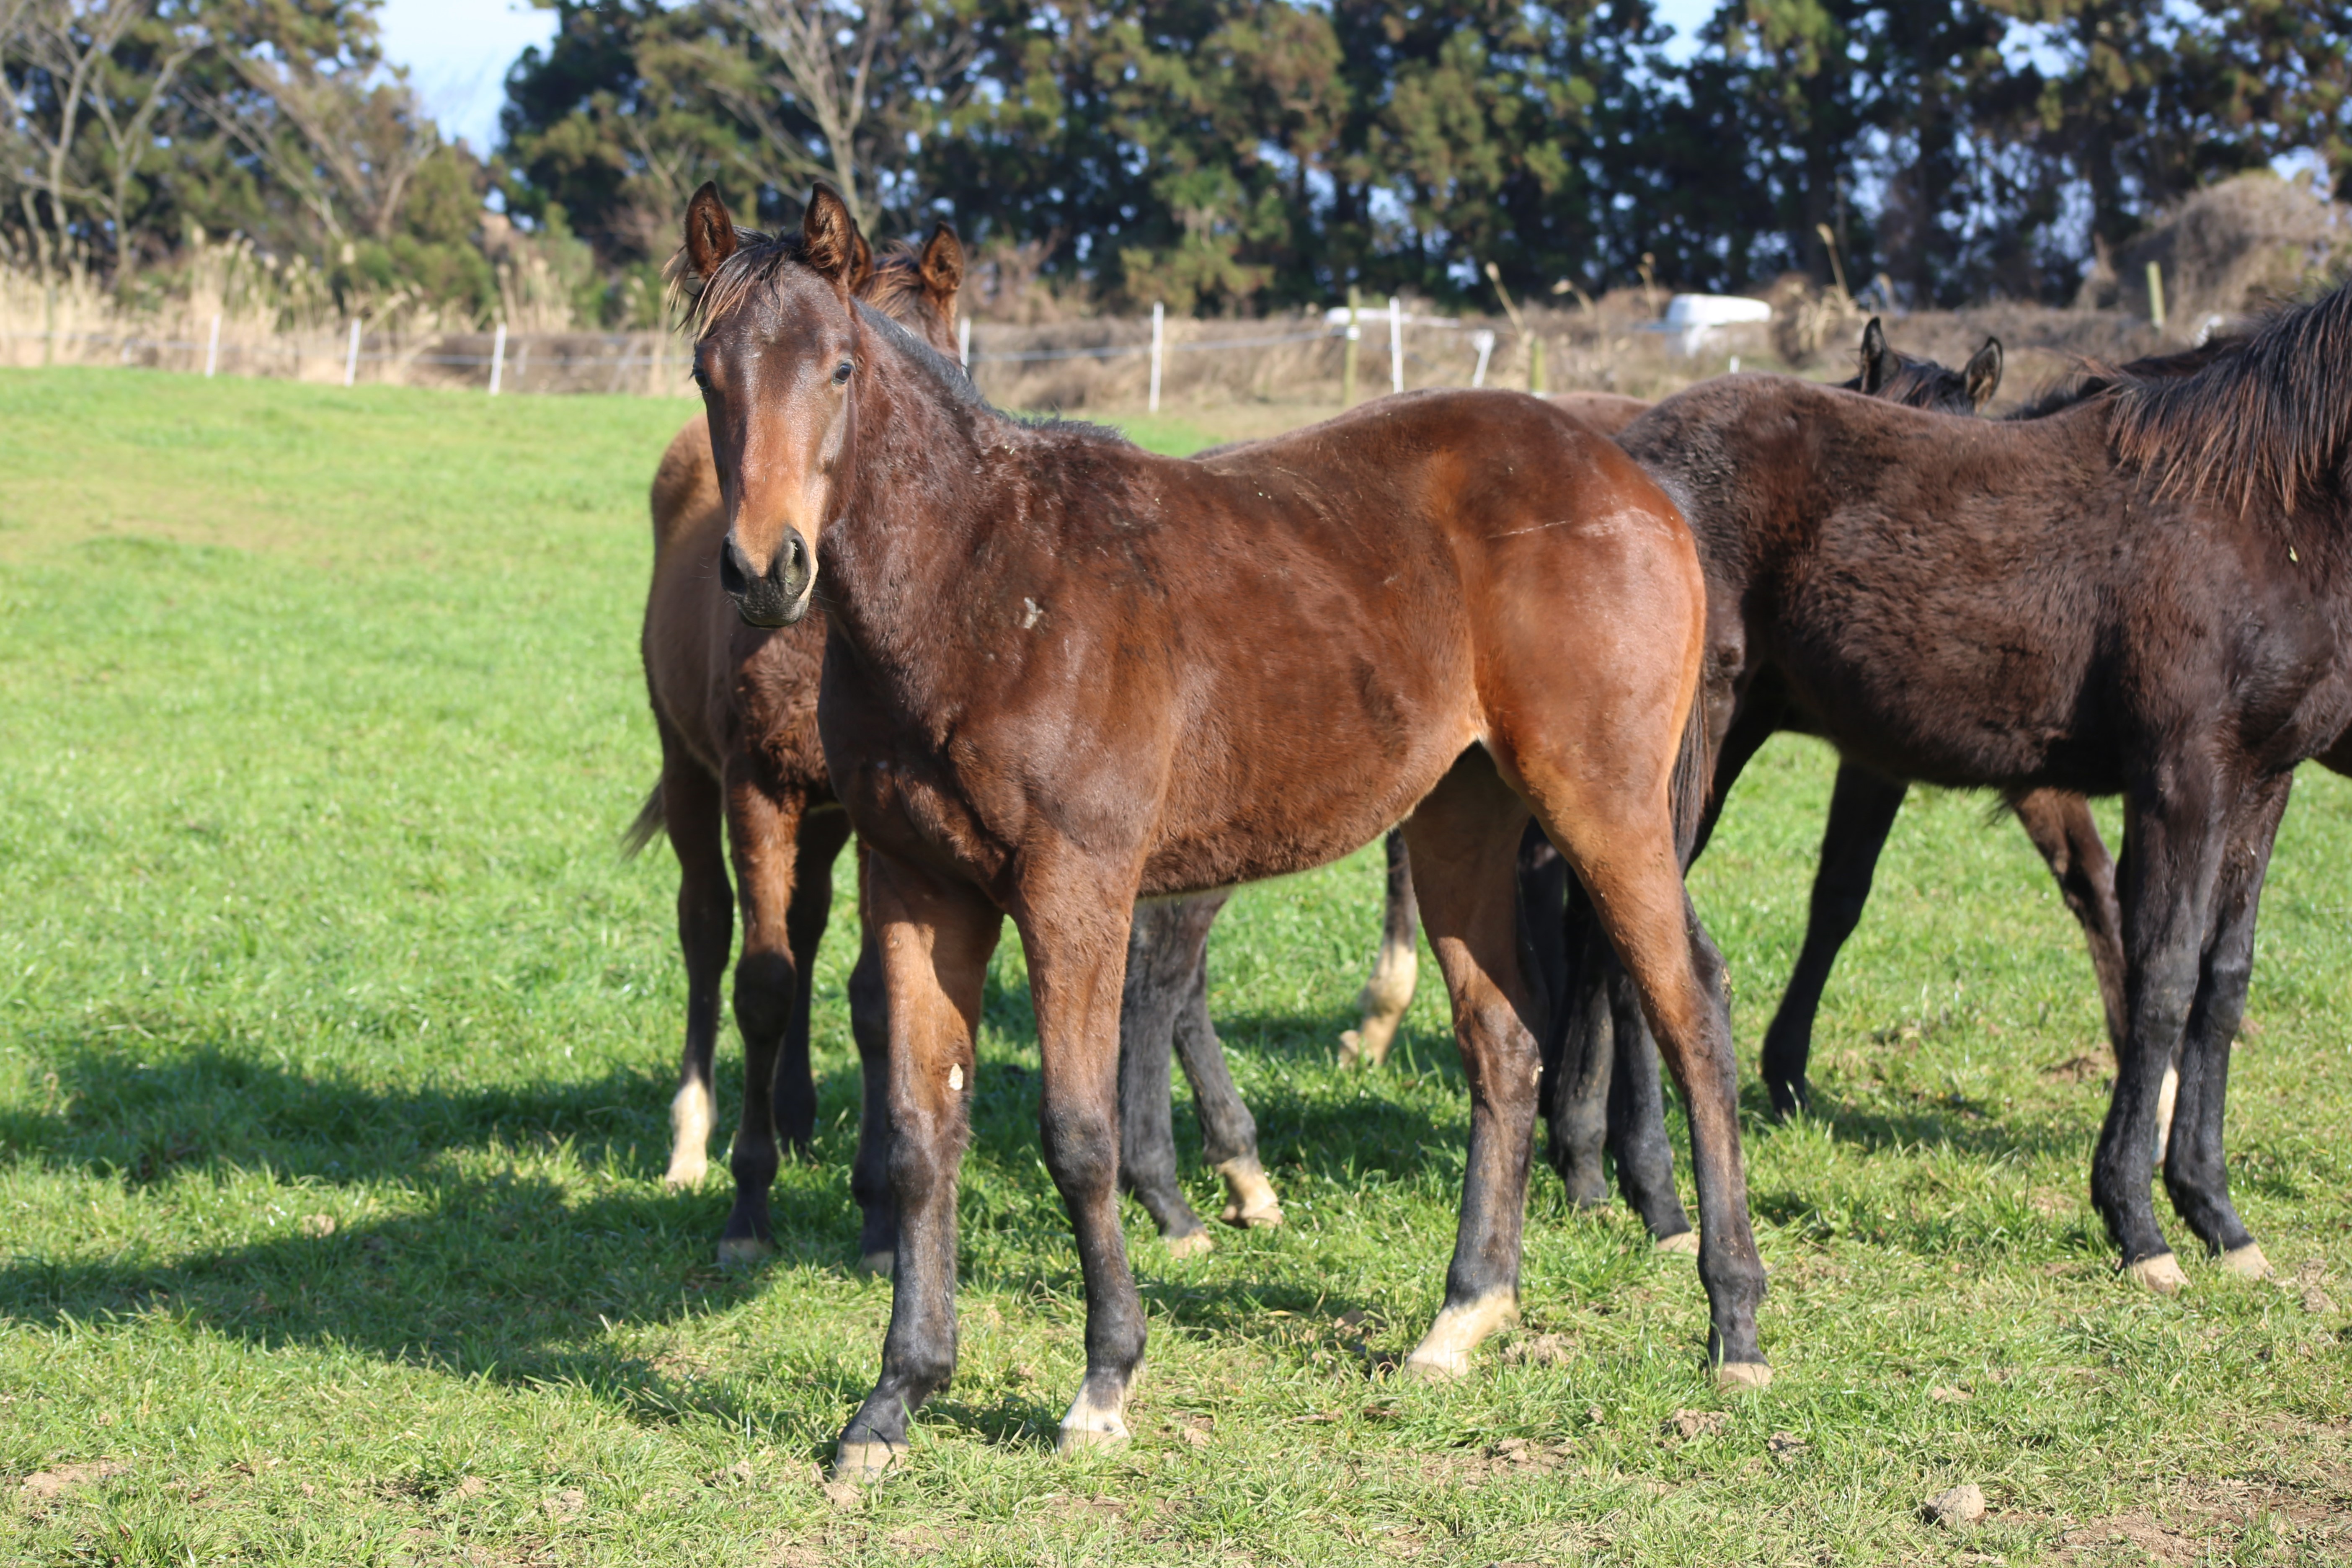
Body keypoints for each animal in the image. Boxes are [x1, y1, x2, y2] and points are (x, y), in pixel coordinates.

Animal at [672, 181, 1759, 1476]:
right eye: (707, 376)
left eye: (839, 368)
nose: (765, 569)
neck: (982, 585)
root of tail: (1633, 482)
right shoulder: (919, 888)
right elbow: (920, 1131)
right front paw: (892, 1401)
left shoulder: (1074, 888)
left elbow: (1077, 1129)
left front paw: (1103, 1381)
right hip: (1462, 817)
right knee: (1501, 1041)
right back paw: (1462, 1315)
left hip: (1602, 804)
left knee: (1689, 1010)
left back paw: (1733, 1323)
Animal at [1562, 288, 2352, 1297]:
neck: (2255, 509)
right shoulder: (2182, 773)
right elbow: (2163, 977)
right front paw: (2137, 1224)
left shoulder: (2262, 779)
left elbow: (2221, 980)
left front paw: (2217, 1214)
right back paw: (1653, 1197)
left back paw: (1616, 1184)